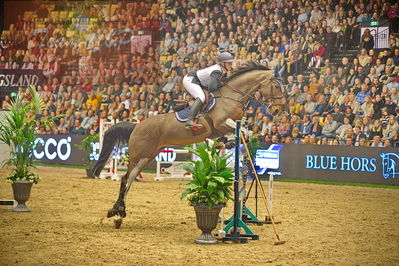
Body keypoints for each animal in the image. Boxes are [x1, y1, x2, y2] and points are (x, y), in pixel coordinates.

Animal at [92, 61, 286, 228]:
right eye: (276, 86)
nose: (278, 111)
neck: (232, 96)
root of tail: (136, 126)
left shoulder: (221, 130)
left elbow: (242, 133)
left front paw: (224, 144)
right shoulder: (221, 123)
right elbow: (240, 129)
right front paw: (227, 142)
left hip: (148, 156)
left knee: (130, 179)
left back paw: (119, 213)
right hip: (139, 155)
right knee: (125, 179)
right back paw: (117, 211)